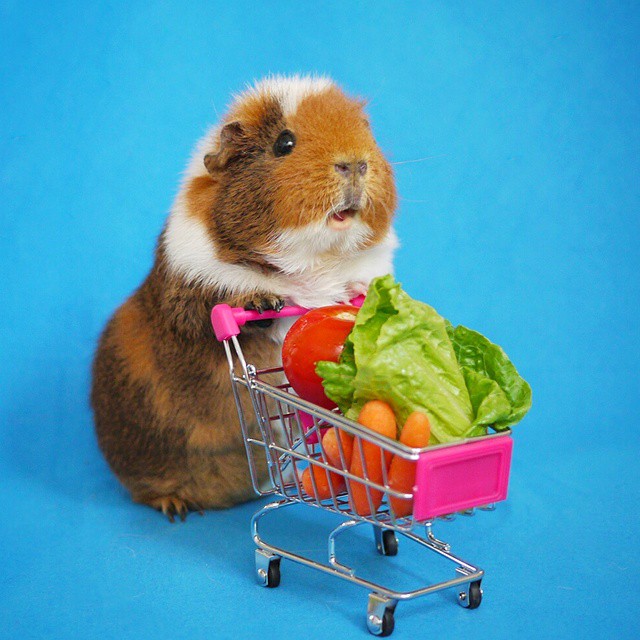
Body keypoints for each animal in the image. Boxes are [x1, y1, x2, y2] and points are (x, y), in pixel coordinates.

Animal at [91, 75, 398, 521]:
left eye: (366, 133)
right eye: (284, 143)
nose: (355, 163)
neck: (315, 264)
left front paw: (357, 295)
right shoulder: (194, 291)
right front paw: (264, 303)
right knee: (146, 489)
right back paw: (177, 507)